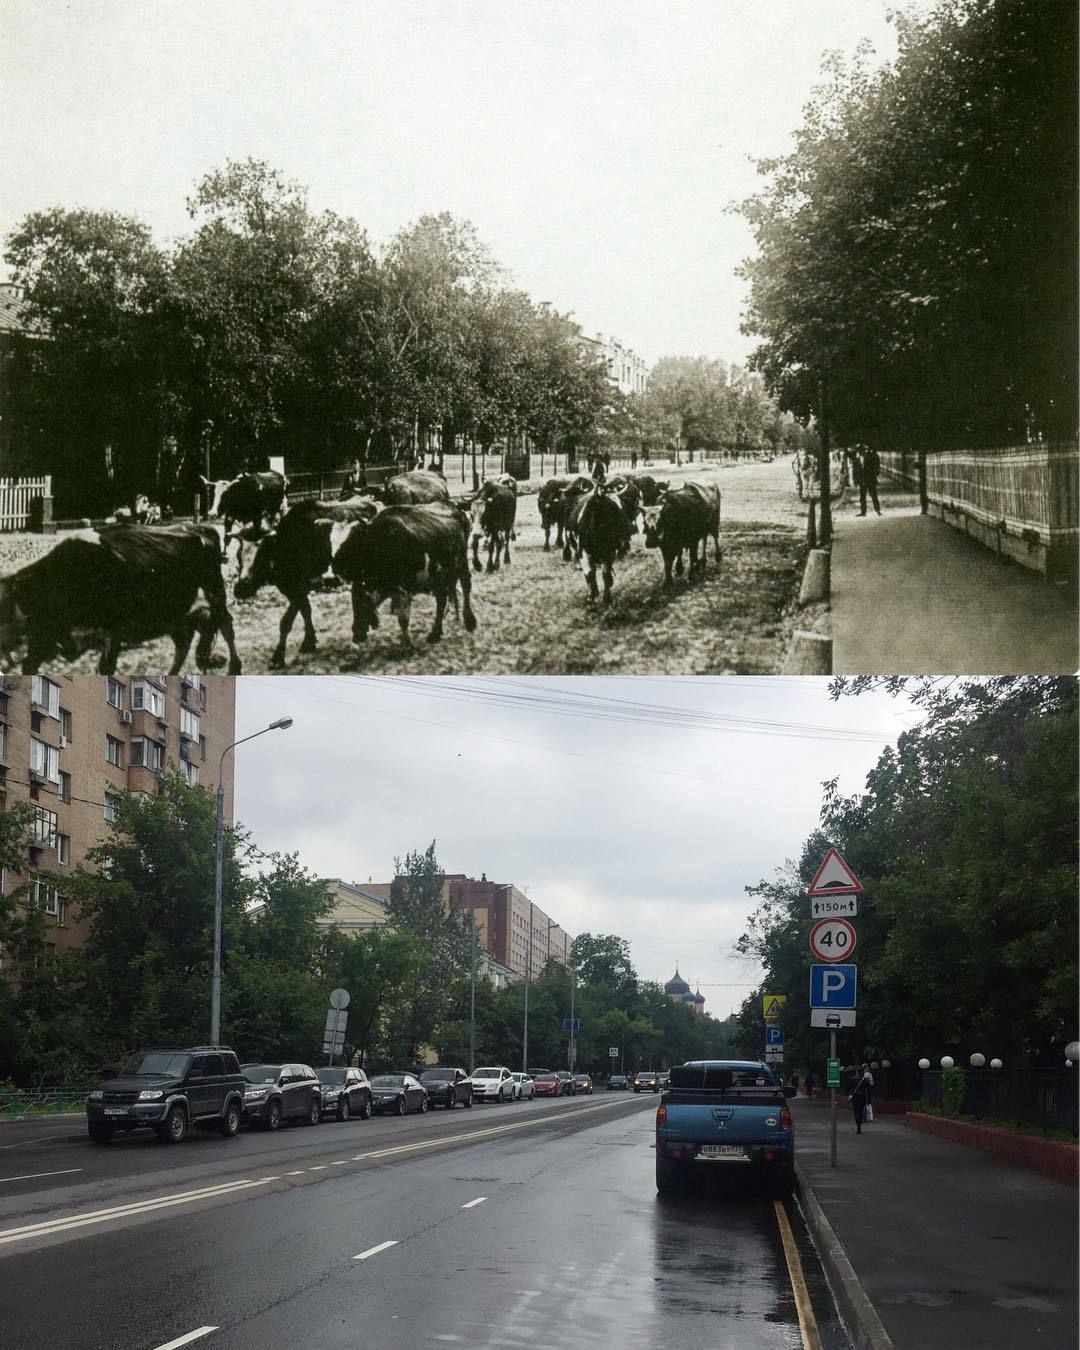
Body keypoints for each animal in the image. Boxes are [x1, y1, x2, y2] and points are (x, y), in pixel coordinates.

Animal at [0, 523, 243, 675]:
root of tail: (200, 529)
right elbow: (30, 667)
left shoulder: (113, 631)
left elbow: (106, 668)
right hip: (177, 614)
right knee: (186, 641)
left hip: (214, 593)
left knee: (226, 625)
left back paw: (235, 667)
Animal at [233, 496, 380, 669]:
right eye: (238, 556)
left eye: (261, 556)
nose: (240, 589)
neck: (286, 546)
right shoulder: (294, 591)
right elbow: (306, 611)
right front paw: (309, 642)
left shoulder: (298, 589)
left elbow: (286, 622)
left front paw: (278, 657)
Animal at [333, 502, 477, 648]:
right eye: (353, 602)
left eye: (362, 603)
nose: (357, 636)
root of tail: (456, 509)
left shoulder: (403, 590)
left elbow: (403, 619)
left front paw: (409, 645)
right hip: (442, 573)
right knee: (443, 598)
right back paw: (438, 631)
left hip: (461, 563)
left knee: (465, 585)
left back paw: (469, 622)